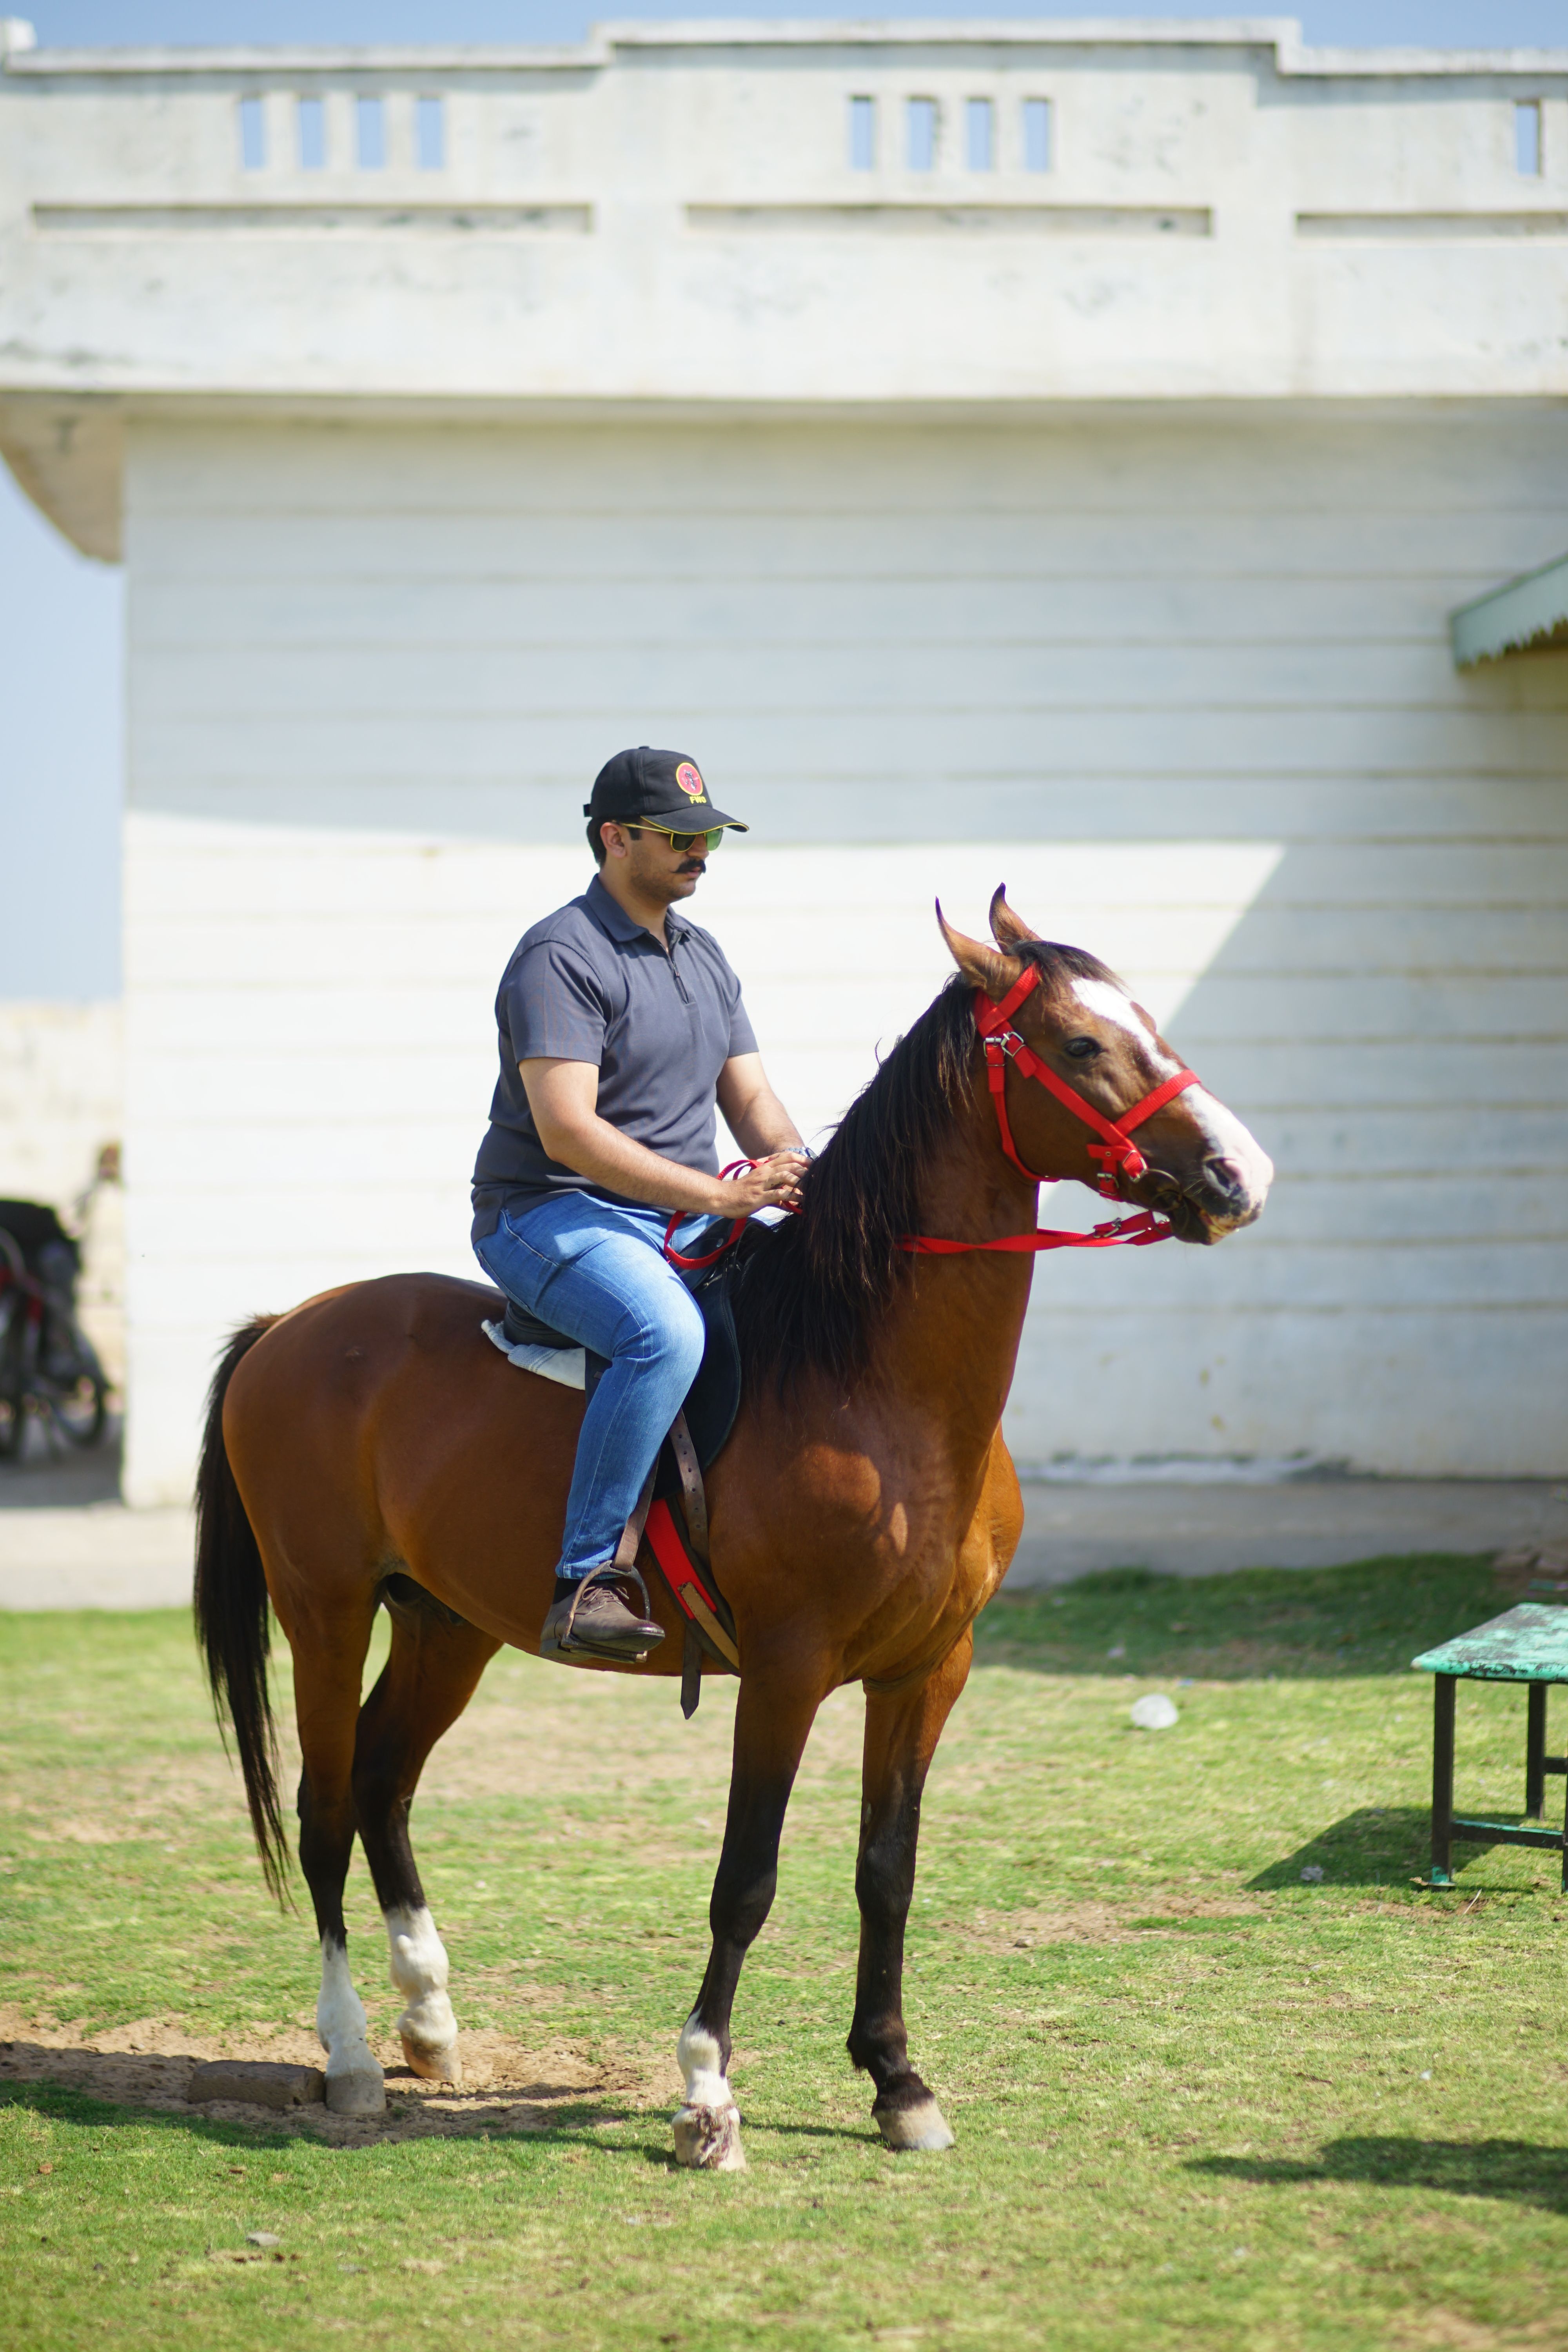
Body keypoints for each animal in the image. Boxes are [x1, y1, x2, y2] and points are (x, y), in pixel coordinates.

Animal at [194, 890, 1272, 2169]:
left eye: (1146, 1022)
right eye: (1080, 1044)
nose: (1238, 1172)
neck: (868, 1382)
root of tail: (289, 1324)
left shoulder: (929, 1668)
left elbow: (885, 1871)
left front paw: (896, 2079)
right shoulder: (788, 1667)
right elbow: (745, 1879)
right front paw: (707, 2094)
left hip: (448, 1624)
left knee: (381, 1779)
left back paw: (432, 2021)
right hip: (324, 1607)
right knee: (321, 1811)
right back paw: (355, 2055)